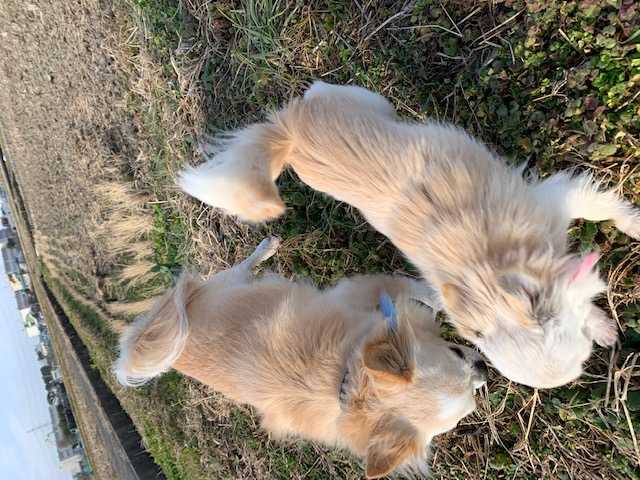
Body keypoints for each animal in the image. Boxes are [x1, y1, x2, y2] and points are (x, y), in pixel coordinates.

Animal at [115, 237, 487, 478]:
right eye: (456, 351)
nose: (484, 369)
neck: (348, 376)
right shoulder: (374, 292)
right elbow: (424, 294)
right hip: (226, 283)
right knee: (241, 267)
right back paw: (265, 248)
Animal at [178, 81, 640, 388]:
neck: (489, 278)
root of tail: (289, 135)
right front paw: (602, 325)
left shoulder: (557, 201)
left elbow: (609, 212)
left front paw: (632, 226)